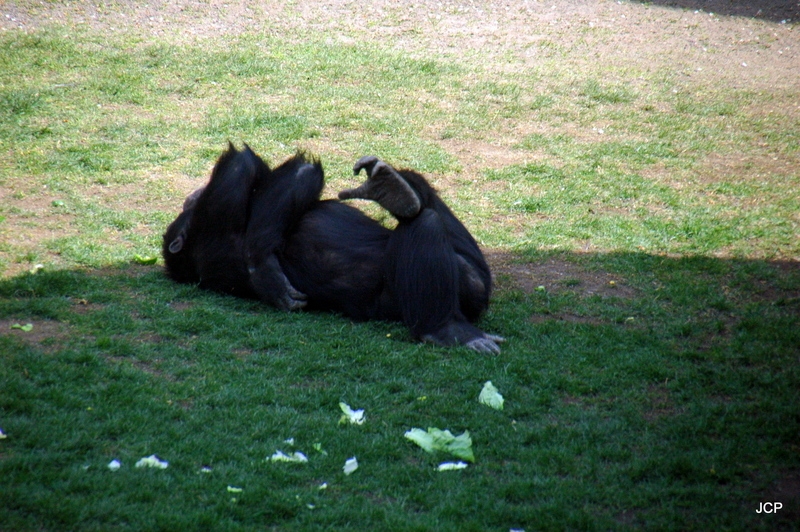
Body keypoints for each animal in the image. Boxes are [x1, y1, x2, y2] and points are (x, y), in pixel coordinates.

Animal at [160, 143, 504, 356]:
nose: (193, 194)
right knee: (428, 224)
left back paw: (394, 188)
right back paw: (446, 330)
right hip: (468, 284)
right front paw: (264, 269)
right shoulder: (215, 212)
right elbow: (249, 167)